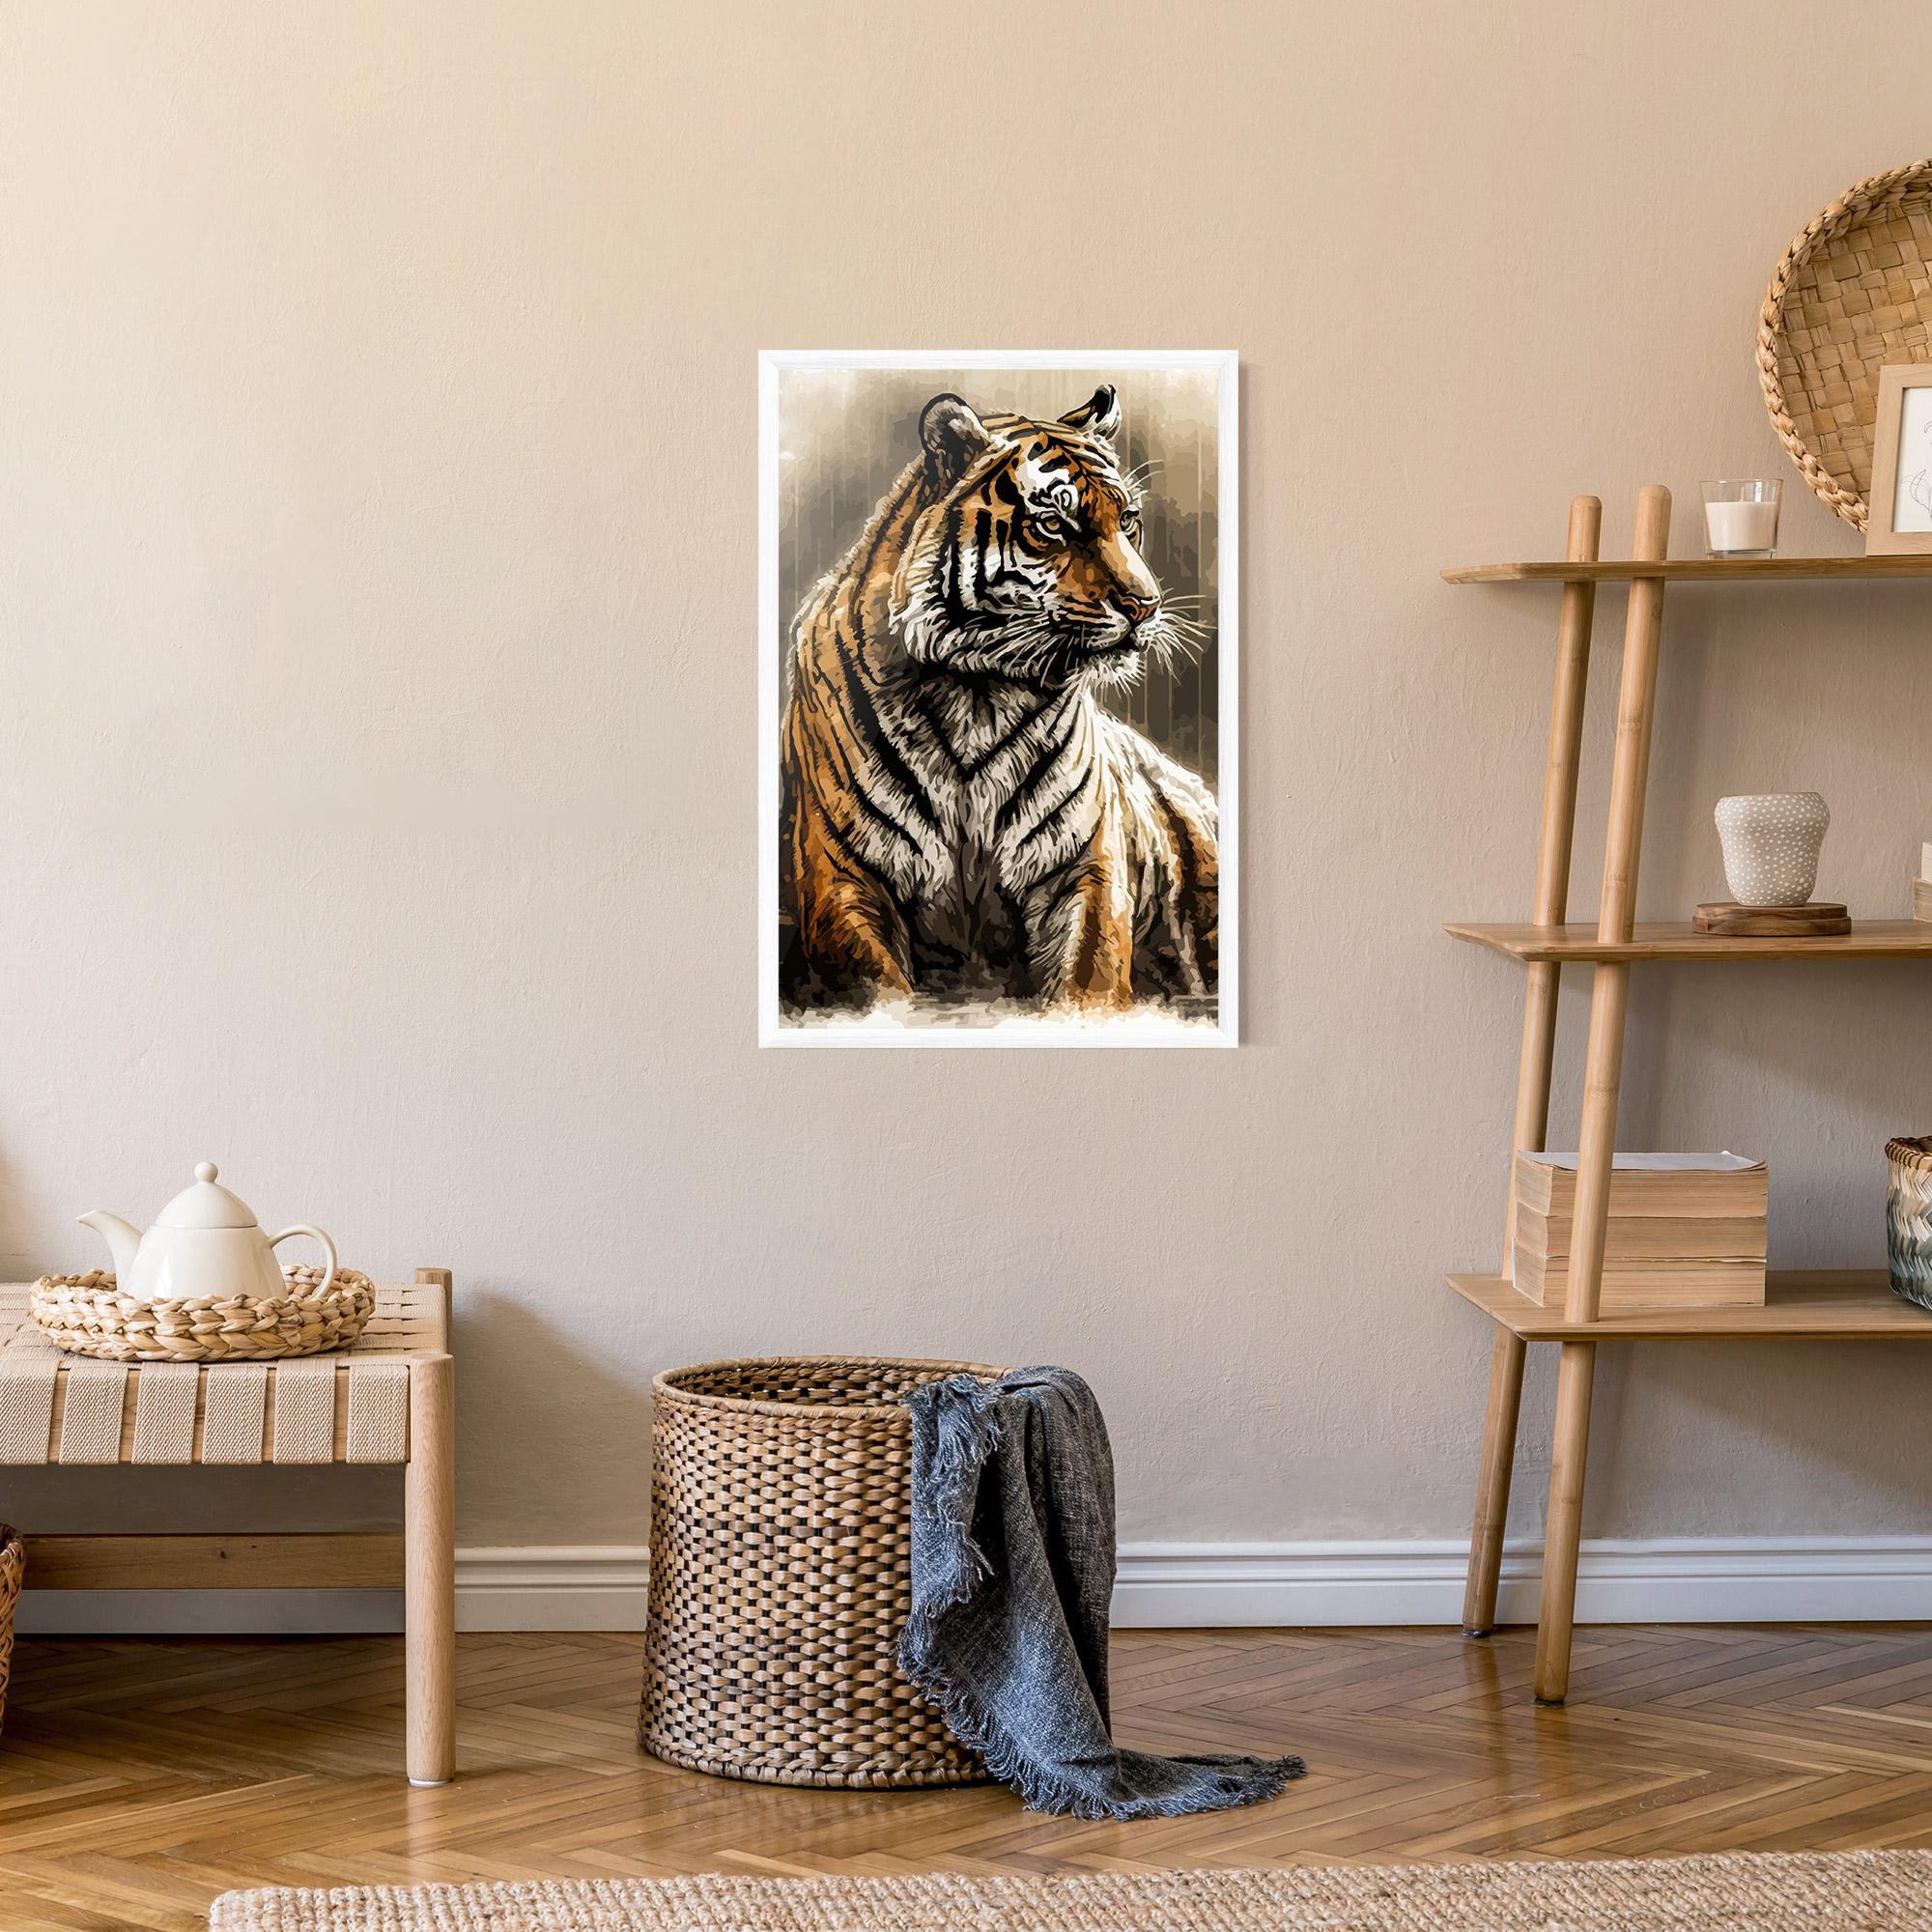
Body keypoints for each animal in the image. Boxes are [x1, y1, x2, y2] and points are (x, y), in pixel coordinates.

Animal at [779, 384, 1218, 1018]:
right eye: (1054, 524)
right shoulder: (842, 876)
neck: (976, 692)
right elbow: (881, 992)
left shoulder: (1085, 869)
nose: (1146, 605)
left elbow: (1085, 984)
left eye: (1129, 521)